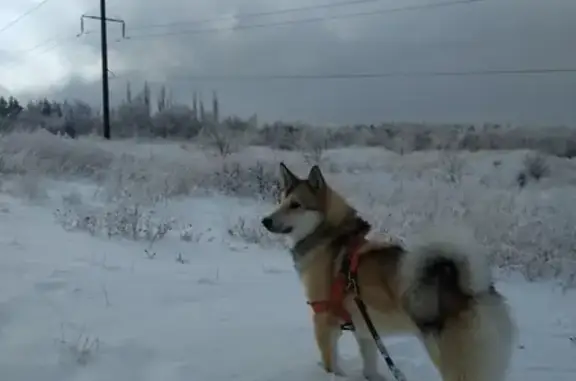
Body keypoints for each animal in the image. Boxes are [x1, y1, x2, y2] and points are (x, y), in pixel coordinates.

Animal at [260, 163, 516, 380]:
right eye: (281, 201)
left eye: (296, 205)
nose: (265, 221)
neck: (330, 234)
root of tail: (477, 289)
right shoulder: (365, 329)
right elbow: (370, 365)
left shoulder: (324, 321)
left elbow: (331, 365)